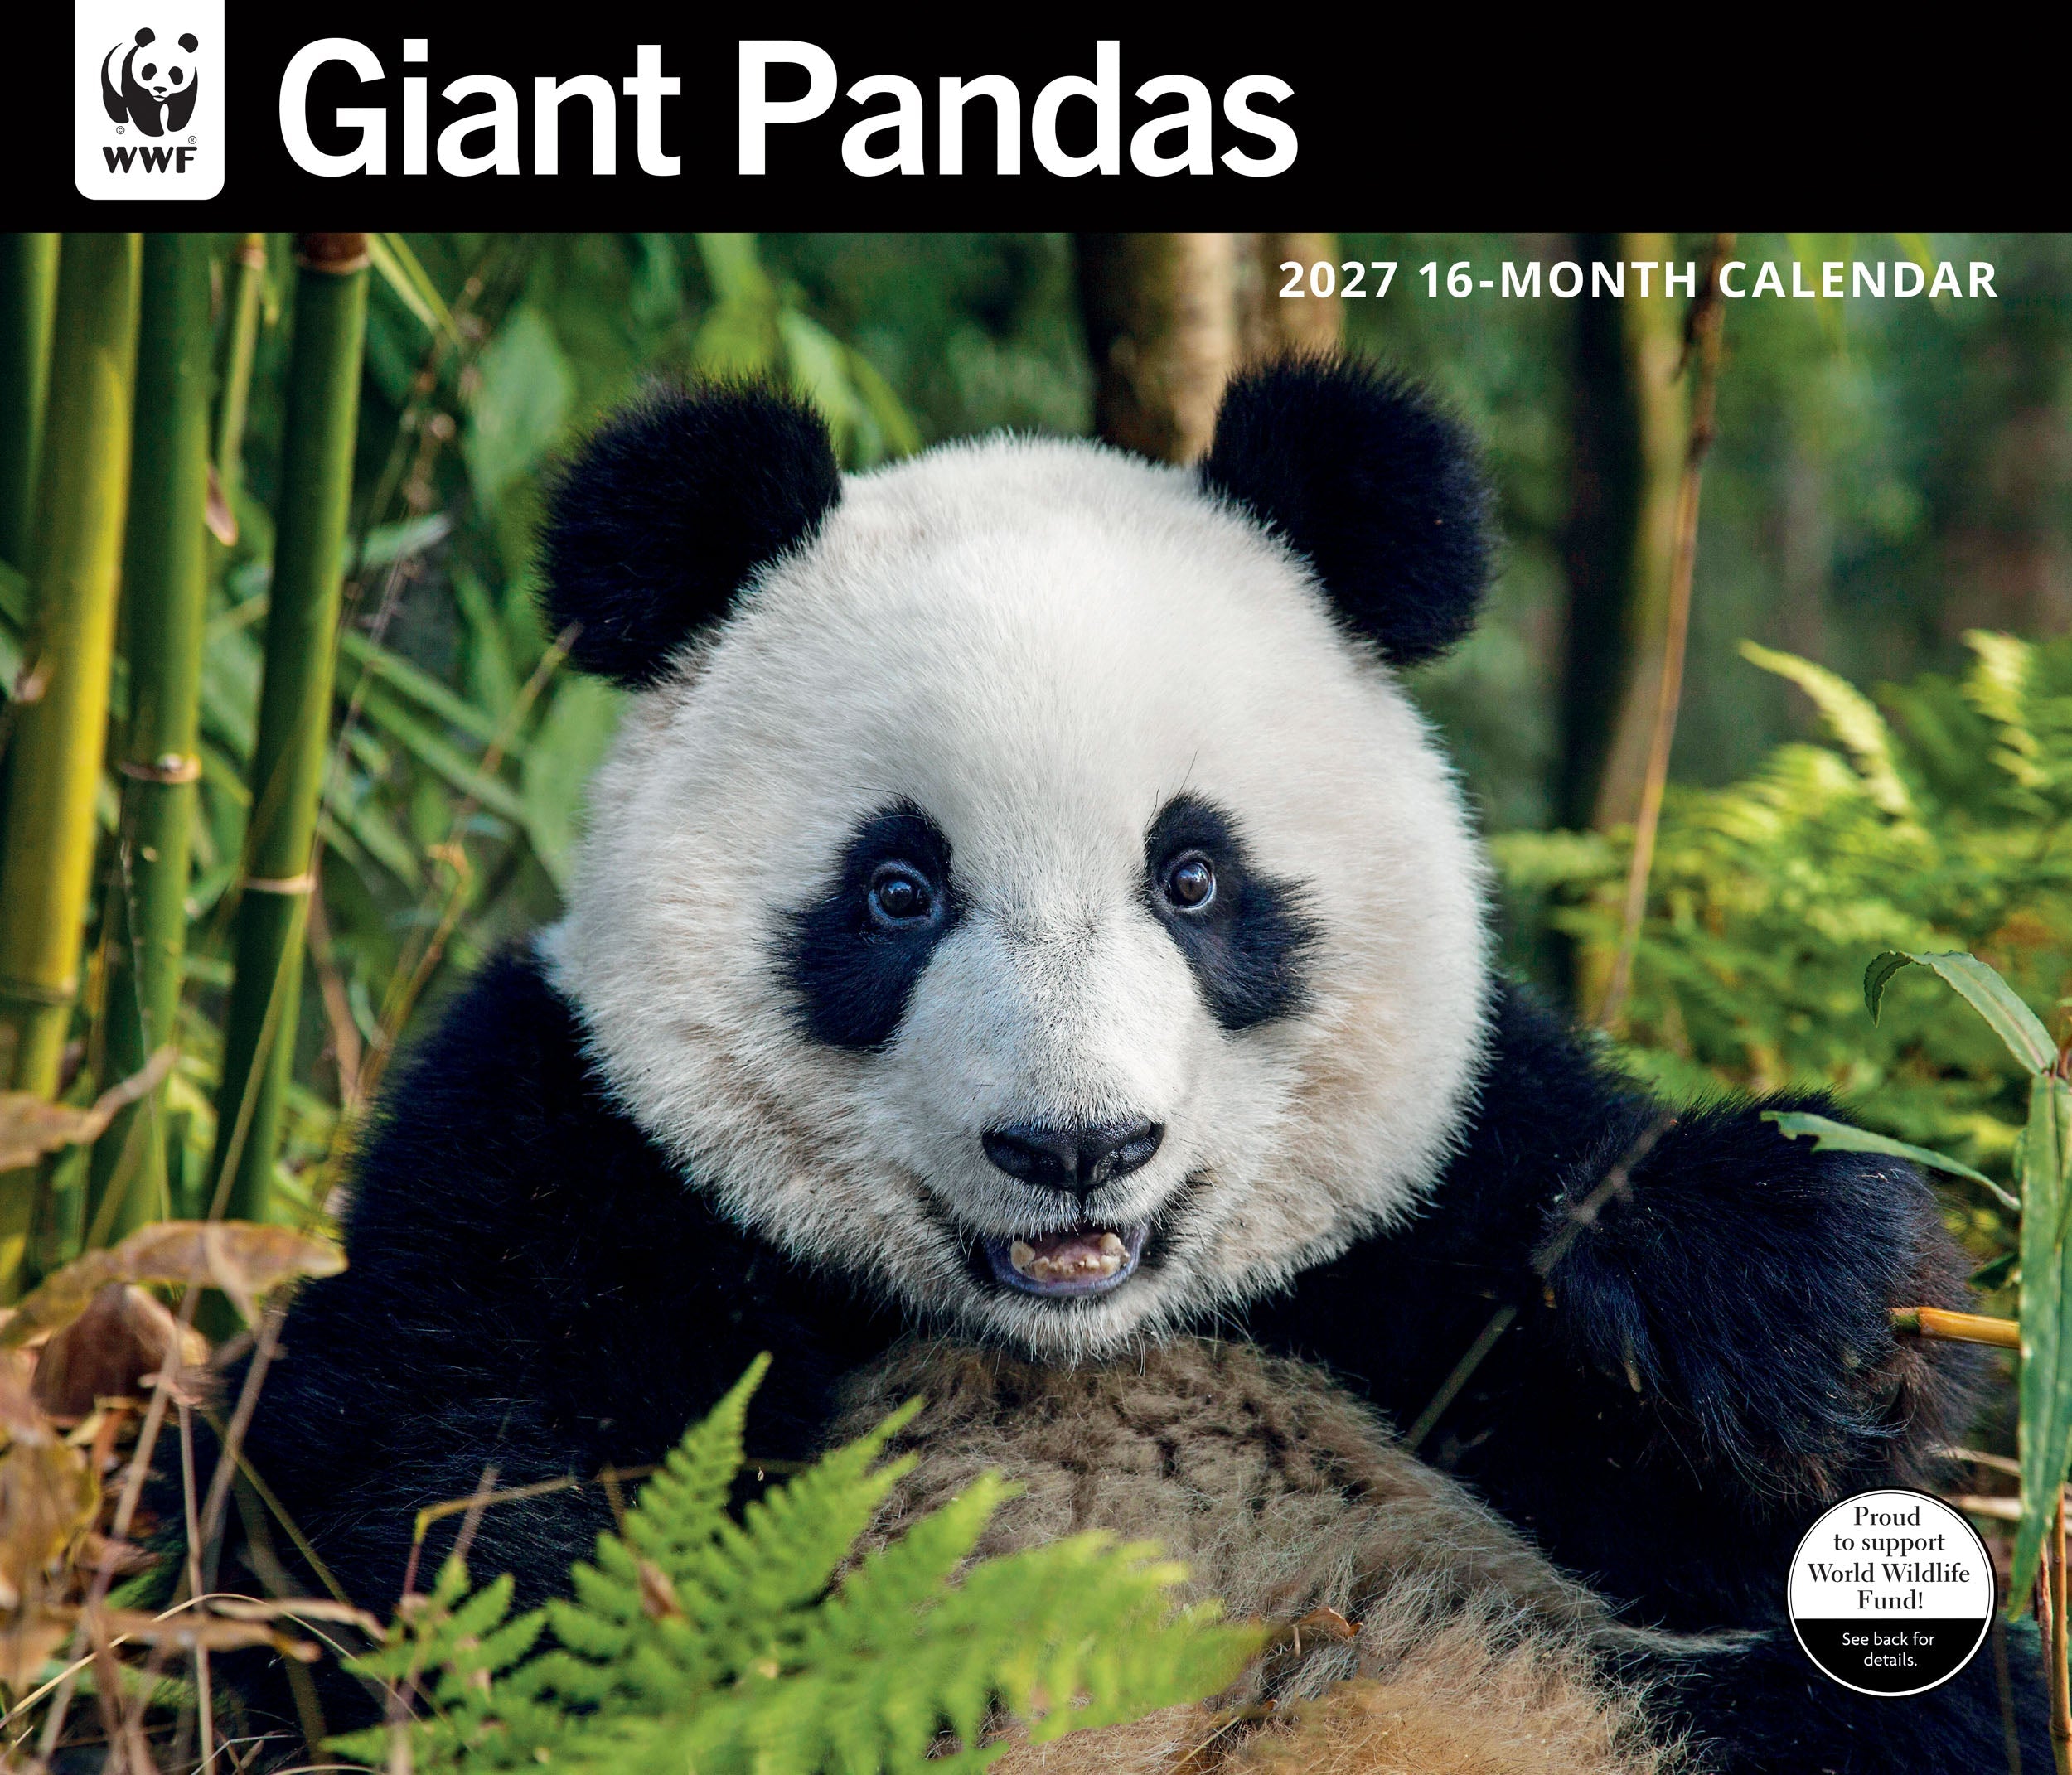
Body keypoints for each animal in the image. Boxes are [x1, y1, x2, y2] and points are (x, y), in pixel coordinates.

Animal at [228, 357, 2046, 1772]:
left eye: (1193, 877)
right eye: (898, 890)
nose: (1074, 1147)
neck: (1069, 1339)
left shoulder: (1425, 1224)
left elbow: (1737, 1473)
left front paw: (1776, 1301)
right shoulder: (569, 1151)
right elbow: (441, 1501)